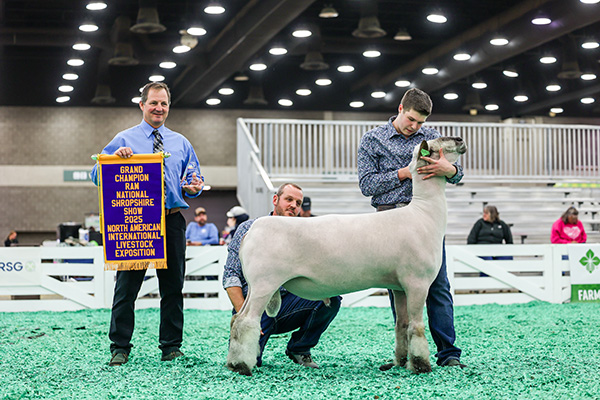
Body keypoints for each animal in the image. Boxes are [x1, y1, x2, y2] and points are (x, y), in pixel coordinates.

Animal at [226, 136, 467, 376]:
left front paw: (400, 362)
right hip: (265, 283)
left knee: (236, 319)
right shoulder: (417, 282)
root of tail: (251, 231)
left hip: (255, 284)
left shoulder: (399, 287)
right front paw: (420, 365)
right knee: (247, 321)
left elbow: (402, 325)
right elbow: (417, 326)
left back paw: (233, 363)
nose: (460, 140)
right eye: (438, 144)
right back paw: (242, 366)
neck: (424, 213)